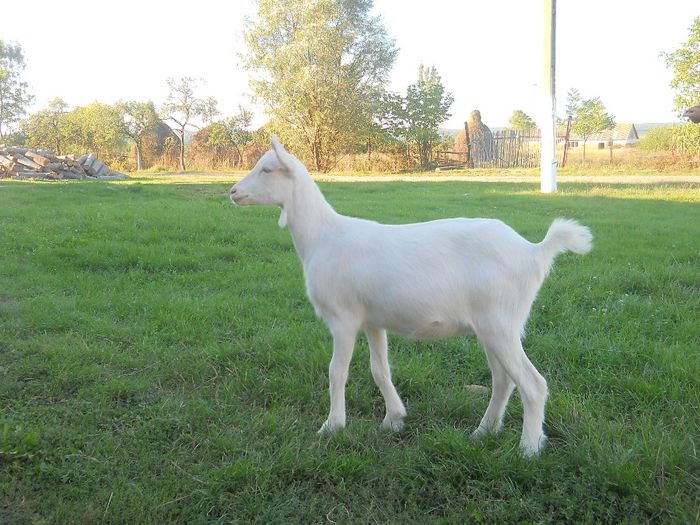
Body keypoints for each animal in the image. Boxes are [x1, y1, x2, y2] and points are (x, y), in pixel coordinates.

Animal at [230, 136, 592, 454]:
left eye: (267, 169)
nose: (233, 191)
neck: (322, 237)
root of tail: (535, 251)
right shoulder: (372, 320)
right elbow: (380, 369)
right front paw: (394, 419)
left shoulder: (343, 317)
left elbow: (336, 372)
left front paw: (331, 427)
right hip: (495, 325)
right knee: (504, 379)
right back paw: (483, 432)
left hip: (501, 321)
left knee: (533, 383)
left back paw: (528, 448)